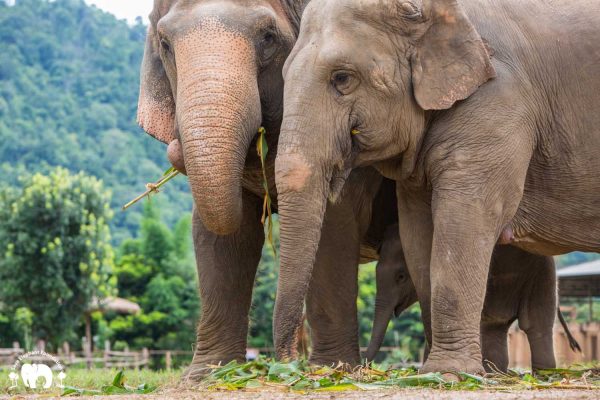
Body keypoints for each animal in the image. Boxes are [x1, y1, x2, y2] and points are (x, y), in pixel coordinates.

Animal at [134, 0, 400, 378]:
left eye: (268, 37)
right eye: (166, 45)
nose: (287, 357)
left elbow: (334, 226)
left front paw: (328, 371)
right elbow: (221, 236)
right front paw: (207, 374)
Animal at [366, 225, 580, 372]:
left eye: (401, 276)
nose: (365, 366)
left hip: (541, 275)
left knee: (536, 324)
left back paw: (543, 375)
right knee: (495, 326)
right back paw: (496, 374)